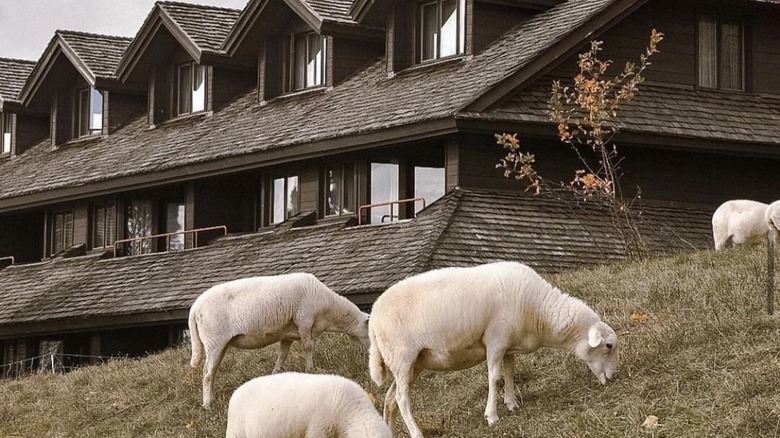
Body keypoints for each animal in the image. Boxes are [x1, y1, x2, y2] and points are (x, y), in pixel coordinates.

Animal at [190, 274, 372, 408]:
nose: (372, 354)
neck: (329, 310)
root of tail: (195, 308)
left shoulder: (287, 335)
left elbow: (282, 356)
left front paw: (275, 375)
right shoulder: (305, 321)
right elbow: (308, 348)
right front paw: (310, 369)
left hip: (220, 344)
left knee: (212, 371)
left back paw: (212, 399)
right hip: (214, 341)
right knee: (207, 373)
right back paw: (207, 404)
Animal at [368, 262, 620, 436]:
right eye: (608, 346)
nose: (614, 377)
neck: (539, 311)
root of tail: (373, 315)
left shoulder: (508, 346)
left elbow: (509, 373)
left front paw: (511, 404)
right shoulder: (495, 340)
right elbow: (495, 378)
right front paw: (492, 416)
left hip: (414, 363)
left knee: (390, 399)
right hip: (402, 357)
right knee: (401, 399)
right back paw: (416, 432)